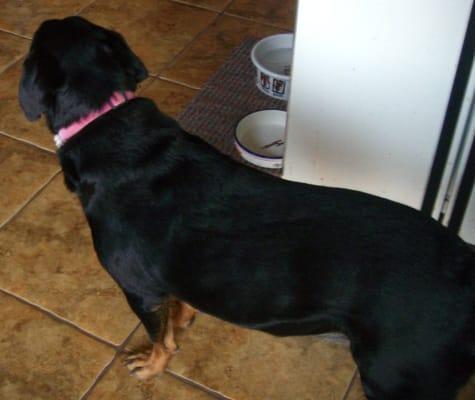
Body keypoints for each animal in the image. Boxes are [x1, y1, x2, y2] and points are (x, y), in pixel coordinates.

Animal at [19, 16, 475, 400]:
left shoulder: (139, 290)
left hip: (395, 374)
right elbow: (178, 309)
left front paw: (151, 366)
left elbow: (161, 340)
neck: (101, 116)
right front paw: (183, 319)